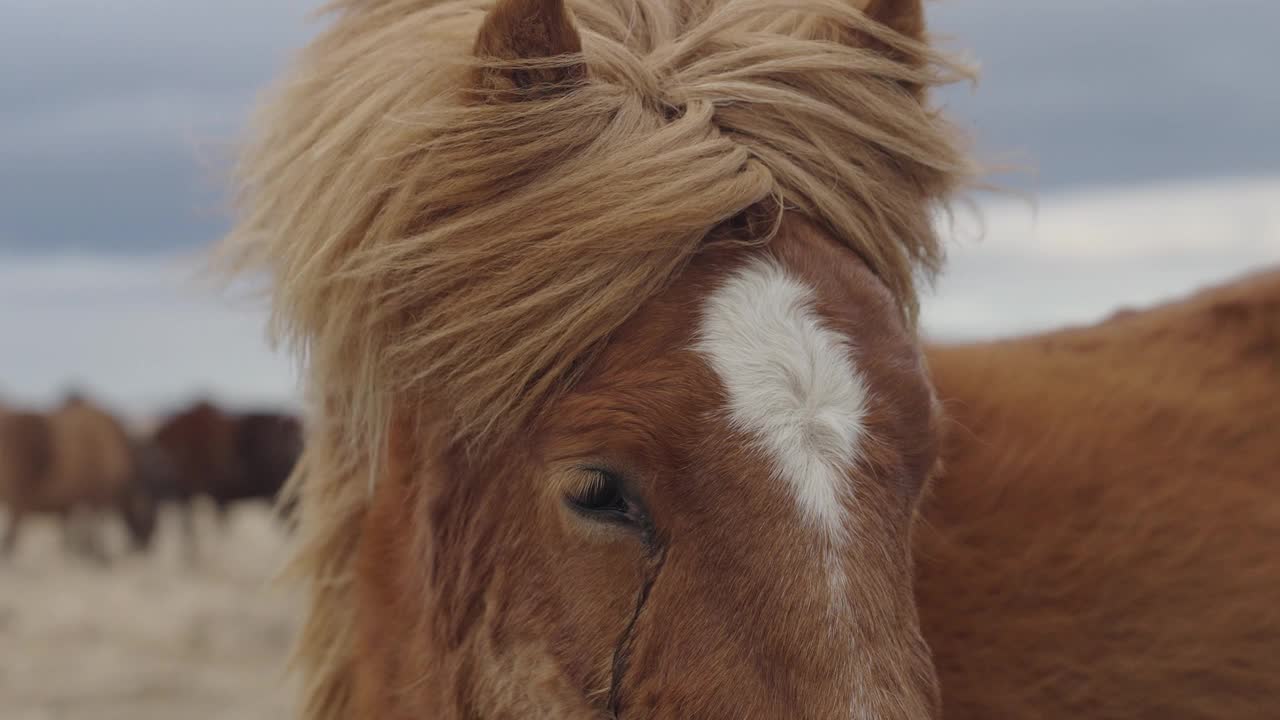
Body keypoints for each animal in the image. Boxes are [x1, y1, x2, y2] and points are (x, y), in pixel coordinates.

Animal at [0, 392, 156, 561]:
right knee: (10, 537)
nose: (146, 547)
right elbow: (92, 529)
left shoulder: (72, 504)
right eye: (148, 518)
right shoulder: (97, 497)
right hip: (18, 503)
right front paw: (98, 555)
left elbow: (74, 534)